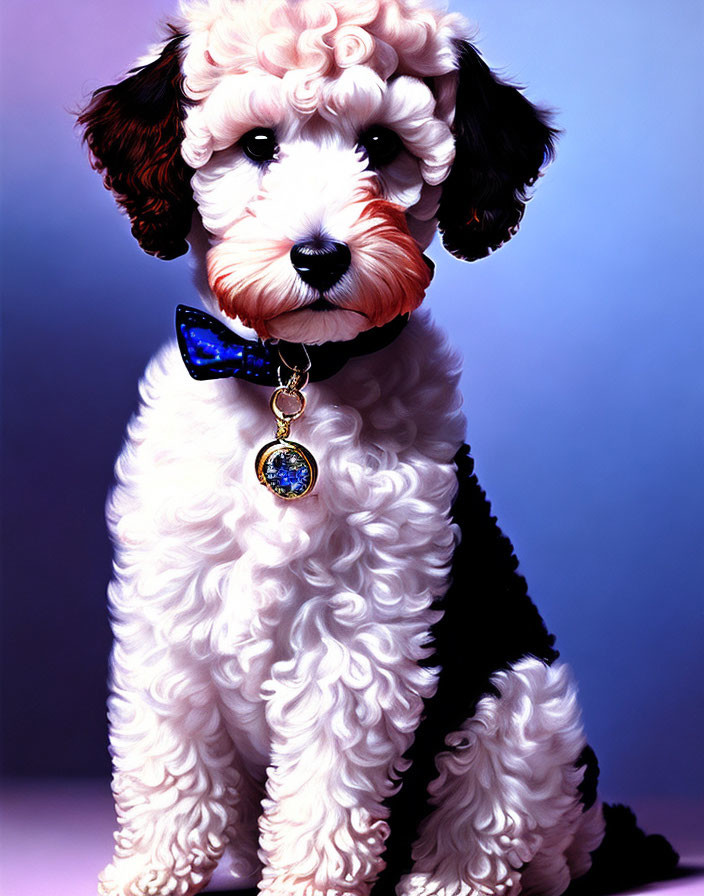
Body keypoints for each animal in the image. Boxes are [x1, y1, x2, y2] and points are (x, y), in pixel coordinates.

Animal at [80, 1, 680, 896]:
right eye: (258, 143)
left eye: (381, 143)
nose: (319, 255)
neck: (295, 372)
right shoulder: (170, 613)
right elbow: (170, 765)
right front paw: (150, 871)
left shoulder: (361, 635)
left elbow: (324, 794)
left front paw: (306, 885)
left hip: (524, 701)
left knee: (492, 831)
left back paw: (443, 881)